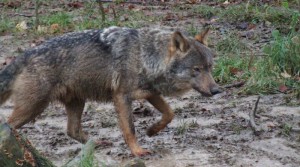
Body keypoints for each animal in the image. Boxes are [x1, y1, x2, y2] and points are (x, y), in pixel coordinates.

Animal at [0, 25, 220, 155]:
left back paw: (97, 144)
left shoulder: (151, 93)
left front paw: (152, 130)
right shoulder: (122, 97)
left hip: (76, 102)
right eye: (196, 69)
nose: (217, 90)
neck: (145, 56)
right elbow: (130, 129)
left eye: (210, 67)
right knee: (8, 125)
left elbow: (170, 113)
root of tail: (25, 54)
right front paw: (138, 152)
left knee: (72, 130)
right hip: (33, 108)